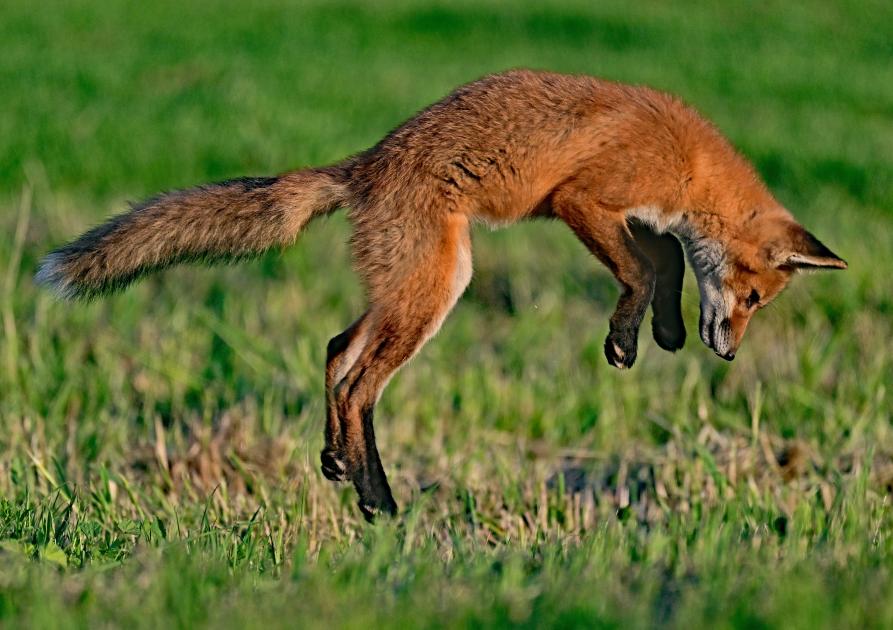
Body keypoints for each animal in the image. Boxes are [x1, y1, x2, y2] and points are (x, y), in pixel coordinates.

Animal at [37, 69, 847, 520]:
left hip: (405, 292)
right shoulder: (582, 200)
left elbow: (668, 260)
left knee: (335, 350)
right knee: (359, 382)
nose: (729, 354)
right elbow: (650, 268)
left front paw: (664, 332)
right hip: (436, 289)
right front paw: (626, 337)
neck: (687, 160)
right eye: (753, 297)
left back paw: (339, 465)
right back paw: (376, 496)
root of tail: (363, 164)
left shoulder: (632, 217)